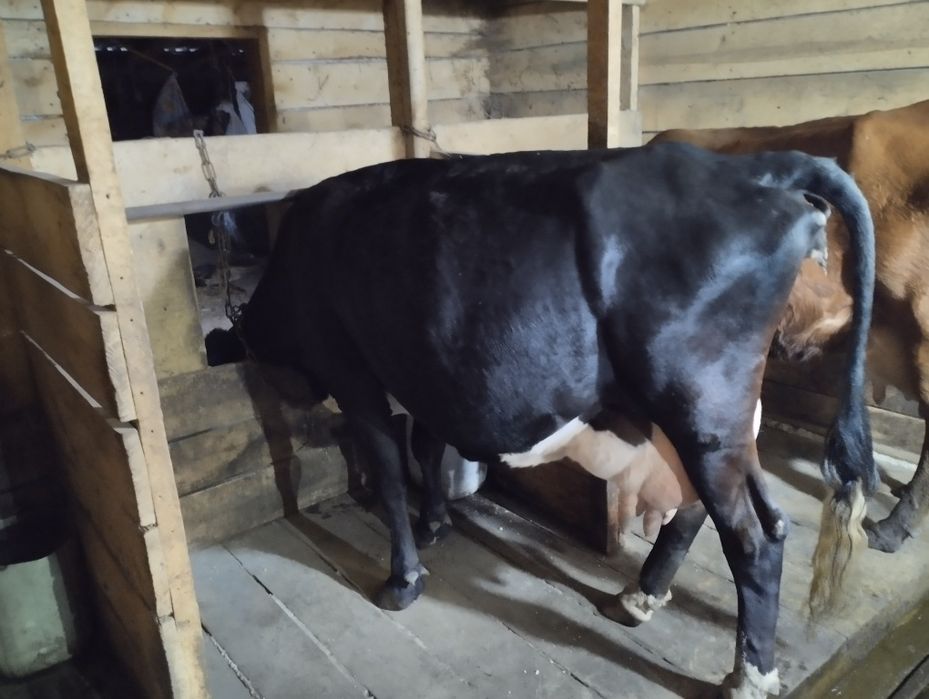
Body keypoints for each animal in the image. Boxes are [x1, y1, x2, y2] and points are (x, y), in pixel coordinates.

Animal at [207, 141, 876, 697]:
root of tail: (748, 167)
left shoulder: (351, 370)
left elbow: (394, 474)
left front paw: (403, 578)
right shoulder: (426, 371)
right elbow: (426, 447)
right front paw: (435, 524)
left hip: (699, 406)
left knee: (752, 539)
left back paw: (749, 675)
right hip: (720, 422)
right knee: (727, 513)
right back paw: (639, 597)